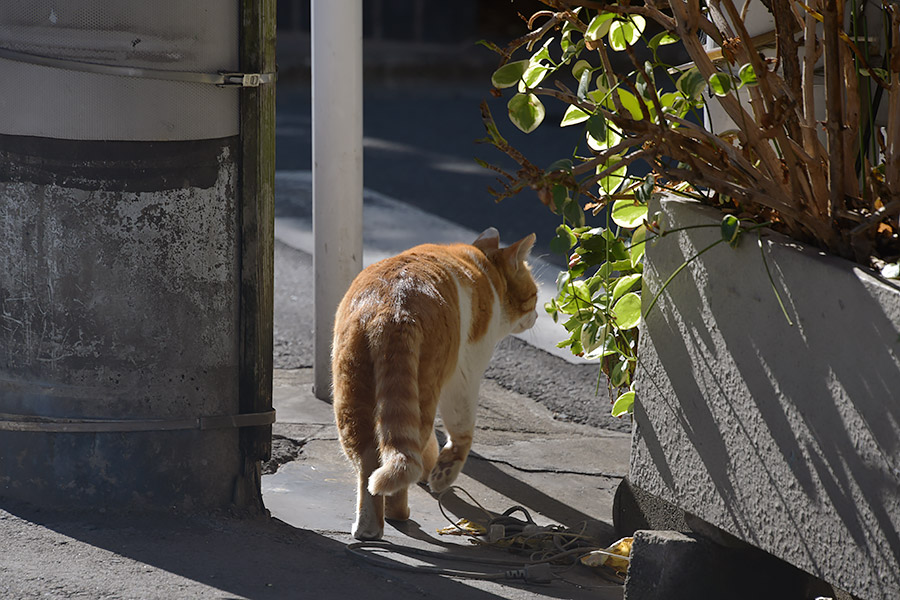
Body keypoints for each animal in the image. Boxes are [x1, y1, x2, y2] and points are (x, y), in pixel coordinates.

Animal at [332, 229, 536, 540]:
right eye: (535, 296)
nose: (537, 315)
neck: (484, 266)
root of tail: (391, 307)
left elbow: (429, 446)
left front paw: (432, 467)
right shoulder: (464, 375)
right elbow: (462, 433)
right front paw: (442, 475)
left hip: (352, 395)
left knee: (369, 463)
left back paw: (368, 528)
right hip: (425, 389)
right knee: (401, 460)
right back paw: (398, 513)